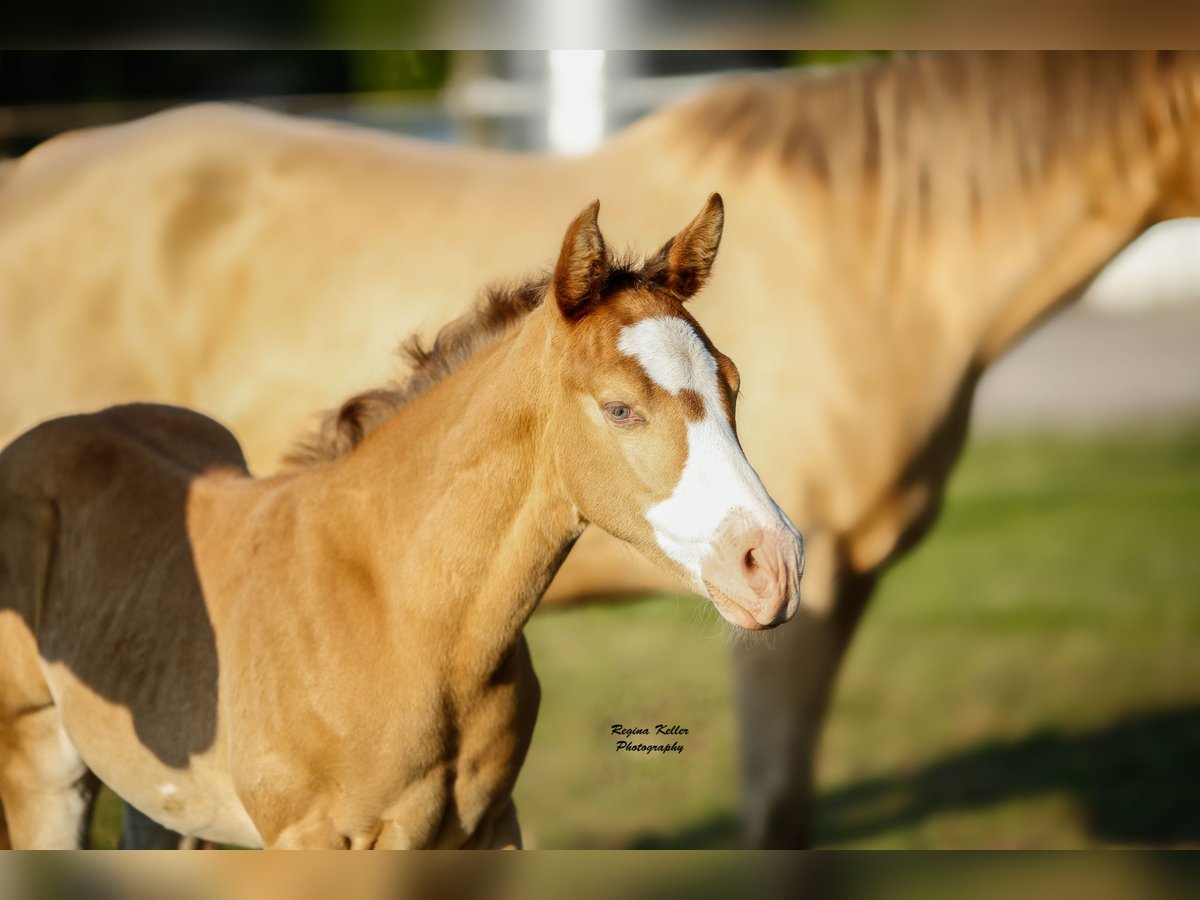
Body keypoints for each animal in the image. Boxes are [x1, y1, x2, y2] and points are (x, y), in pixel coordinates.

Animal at [2, 196, 806, 854]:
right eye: (620, 408)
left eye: (732, 384)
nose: (775, 566)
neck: (405, 621)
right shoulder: (309, 840)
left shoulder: (489, 828)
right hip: (39, 763)